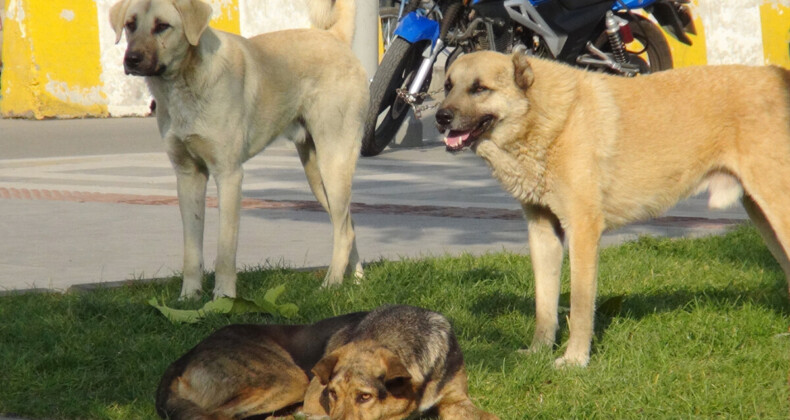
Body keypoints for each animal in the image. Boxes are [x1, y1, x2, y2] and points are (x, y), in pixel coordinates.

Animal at [110, 0, 370, 300]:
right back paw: (357, 281)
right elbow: (191, 250)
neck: (185, 82)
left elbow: (225, 250)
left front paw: (223, 297)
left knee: (344, 231)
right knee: (348, 225)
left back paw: (331, 285)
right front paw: (189, 297)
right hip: (317, 174)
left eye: (162, 26)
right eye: (130, 25)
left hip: (333, 163)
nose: (131, 59)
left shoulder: (229, 175)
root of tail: (335, 37)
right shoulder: (188, 177)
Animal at [158, 306, 498, 420]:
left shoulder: (455, 399)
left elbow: (490, 416)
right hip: (290, 380)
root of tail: (184, 356)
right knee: (215, 416)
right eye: (331, 394)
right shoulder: (315, 397)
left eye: (365, 396)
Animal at [436, 50, 790, 368]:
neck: (545, 118)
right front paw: (539, 351)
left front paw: (575, 360)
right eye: (448, 85)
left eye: (479, 88)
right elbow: (544, 304)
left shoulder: (583, 231)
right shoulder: (543, 233)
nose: (440, 118)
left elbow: (580, 306)